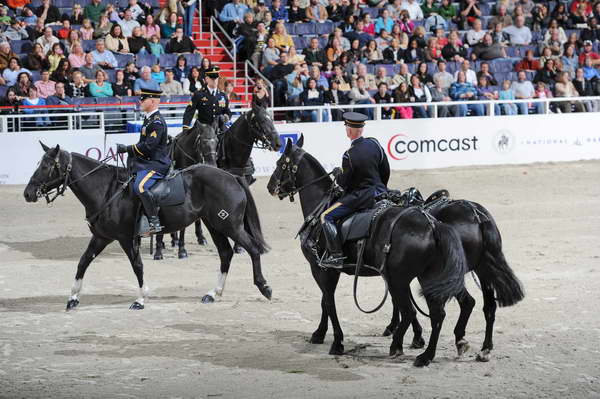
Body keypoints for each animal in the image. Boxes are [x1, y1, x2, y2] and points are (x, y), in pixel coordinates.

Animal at [24, 144, 272, 312]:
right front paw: (73, 298)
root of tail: (231, 176)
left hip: (230, 225)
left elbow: (137, 266)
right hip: (214, 225)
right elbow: (83, 262)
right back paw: (212, 293)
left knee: (252, 250)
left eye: (46, 166)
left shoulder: (125, 238)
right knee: (225, 253)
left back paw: (264, 287)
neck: (106, 190)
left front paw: (140, 299)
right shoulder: (102, 237)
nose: (28, 193)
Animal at [155, 104, 282, 260]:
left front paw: (238, 247)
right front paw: (181, 250)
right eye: (261, 121)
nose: (278, 143)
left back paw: (197, 238)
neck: (233, 155)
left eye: (272, 119)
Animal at [268, 138, 468, 368]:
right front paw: (320, 334)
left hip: (399, 279)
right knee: (437, 314)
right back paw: (426, 355)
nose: (270, 186)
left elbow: (328, 301)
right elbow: (325, 301)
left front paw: (336, 341)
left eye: (280, 163)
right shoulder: (328, 271)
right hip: (425, 278)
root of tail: (432, 225)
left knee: (410, 312)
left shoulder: (322, 269)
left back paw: (399, 346)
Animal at [384, 200, 524, 362]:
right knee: (487, 306)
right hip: (483, 269)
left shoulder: (398, 276)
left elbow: (399, 301)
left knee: (465, 303)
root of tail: (477, 216)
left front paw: (404, 333)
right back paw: (483, 348)